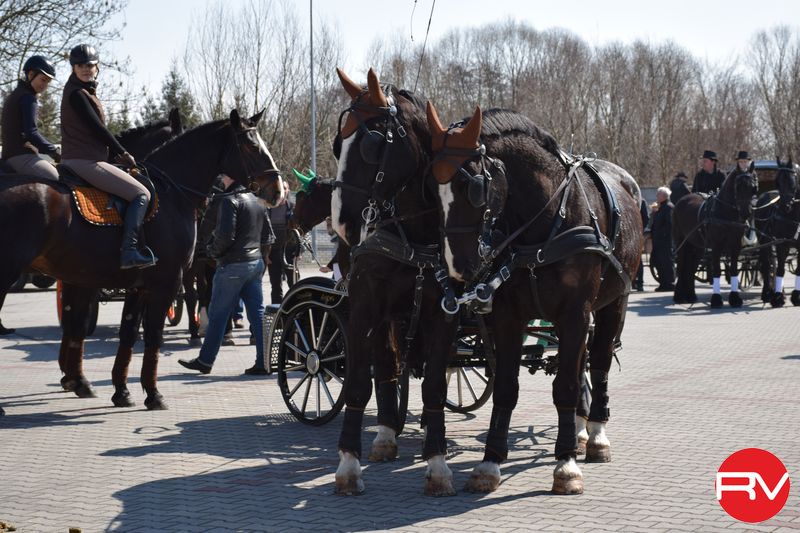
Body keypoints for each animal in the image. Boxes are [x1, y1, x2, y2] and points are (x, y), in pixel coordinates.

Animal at [0, 109, 285, 409]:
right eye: (251, 146)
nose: (277, 190)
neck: (171, 194)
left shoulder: (136, 287)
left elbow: (126, 333)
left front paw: (121, 391)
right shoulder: (165, 282)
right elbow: (152, 334)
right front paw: (153, 393)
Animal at [331, 69, 460, 496]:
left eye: (371, 145)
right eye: (337, 145)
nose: (341, 221)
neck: (413, 233)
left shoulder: (445, 314)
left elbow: (435, 386)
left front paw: (437, 464)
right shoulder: (364, 308)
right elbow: (358, 382)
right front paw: (348, 466)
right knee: (386, 365)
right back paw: (386, 434)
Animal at [426, 102, 643, 494]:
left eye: (473, 187)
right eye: (433, 189)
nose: (456, 267)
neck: (546, 223)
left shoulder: (575, 314)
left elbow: (566, 385)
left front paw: (566, 465)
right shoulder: (508, 317)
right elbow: (506, 388)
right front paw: (490, 463)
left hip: (613, 304)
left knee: (599, 362)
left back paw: (595, 434)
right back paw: (579, 429)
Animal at [672, 165, 758, 307]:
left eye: (753, 188)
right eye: (737, 187)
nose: (746, 213)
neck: (726, 213)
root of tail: (682, 200)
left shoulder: (735, 245)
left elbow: (734, 270)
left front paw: (735, 298)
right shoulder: (716, 246)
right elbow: (717, 270)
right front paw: (716, 299)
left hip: (697, 246)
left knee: (690, 268)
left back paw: (690, 296)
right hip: (682, 243)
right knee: (681, 266)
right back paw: (679, 296)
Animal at [755, 159, 800, 307]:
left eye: (792, 181)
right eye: (778, 182)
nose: (785, 205)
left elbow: (797, 270)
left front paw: (796, 297)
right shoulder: (782, 245)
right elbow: (780, 269)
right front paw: (778, 298)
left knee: (771, 265)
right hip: (764, 241)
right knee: (766, 265)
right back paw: (767, 294)